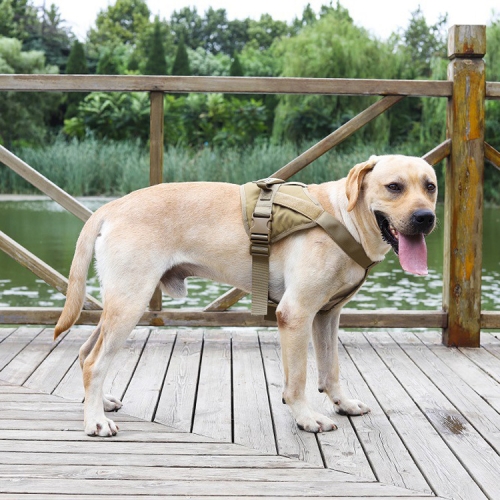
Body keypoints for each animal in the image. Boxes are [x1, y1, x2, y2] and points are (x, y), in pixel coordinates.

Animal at [54, 154, 438, 436]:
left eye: (430, 186)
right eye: (394, 187)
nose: (426, 217)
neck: (344, 218)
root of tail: (113, 206)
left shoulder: (327, 315)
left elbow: (331, 369)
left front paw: (342, 404)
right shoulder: (296, 314)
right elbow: (298, 379)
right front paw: (306, 418)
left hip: (119, 305)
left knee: (86, 353)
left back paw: (100, 403)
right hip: (130, 303)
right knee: (95, 362)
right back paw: (96, 421)